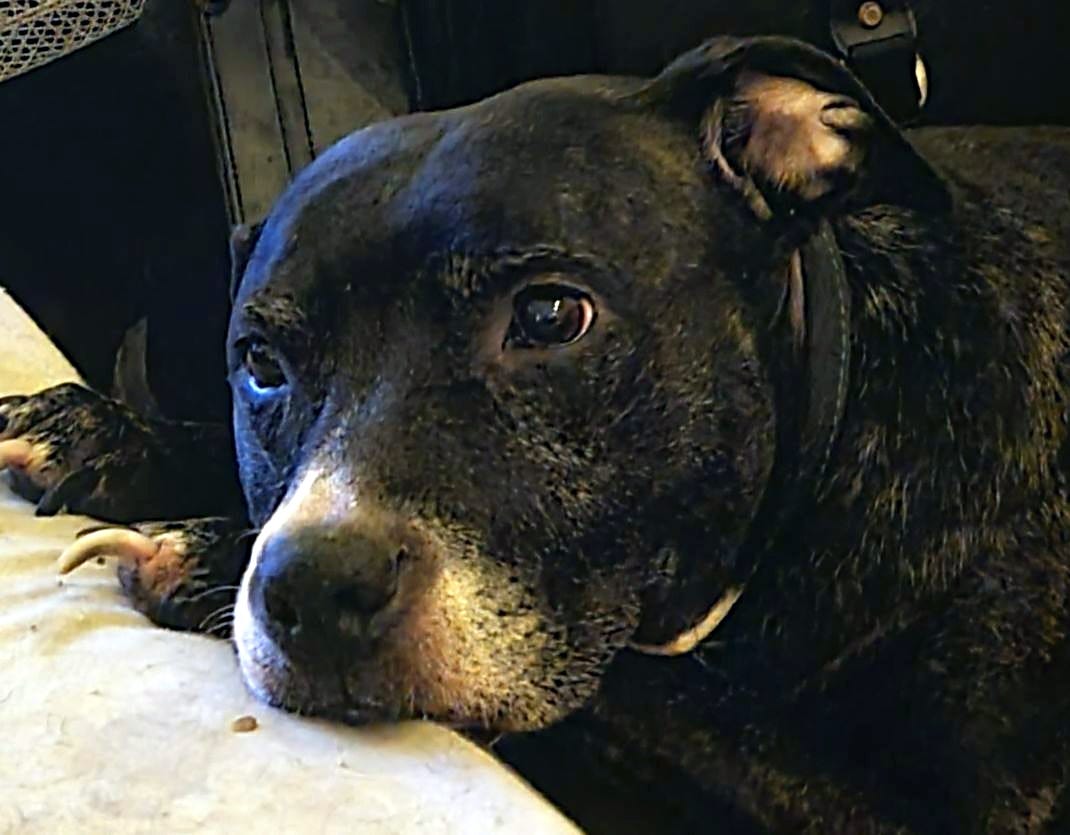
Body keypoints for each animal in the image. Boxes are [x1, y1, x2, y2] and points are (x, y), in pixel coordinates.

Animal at [6, 35, 1070, 830]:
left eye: (552, 315)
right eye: (261, 364)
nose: (310, 585)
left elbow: (634, 692)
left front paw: (207, 555)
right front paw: (100, 433)